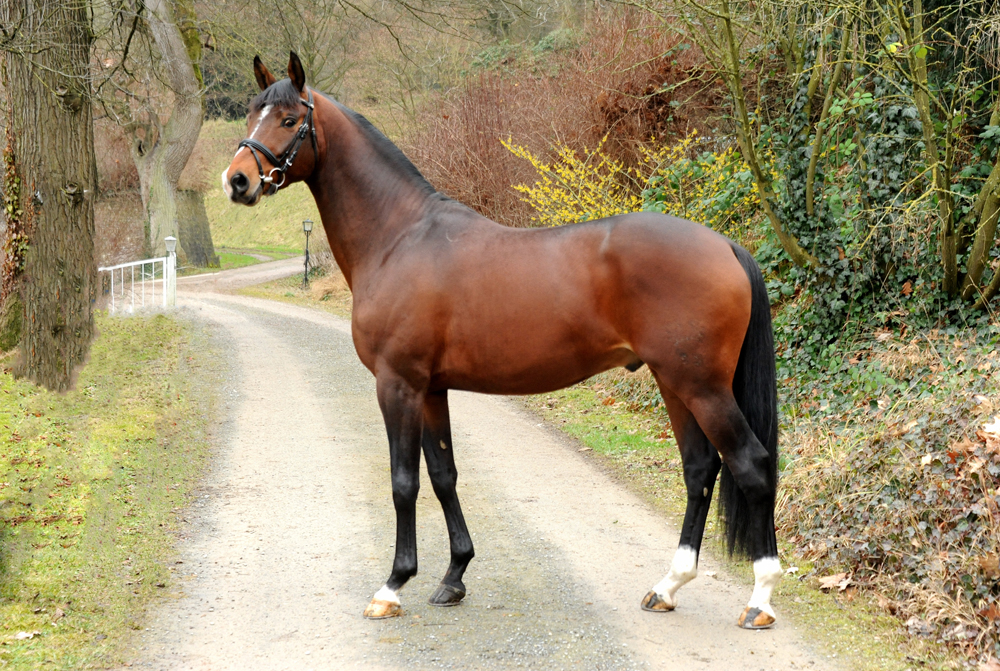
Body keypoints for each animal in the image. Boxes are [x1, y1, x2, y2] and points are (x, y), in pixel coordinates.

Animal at [223, 52, 784, 632]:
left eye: (290, 119)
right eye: (250, 113)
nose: (237, 180)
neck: (399, 237)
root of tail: (724, 244)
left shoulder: (398, 385)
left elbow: (404, 482)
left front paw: (393, 585)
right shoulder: (431, 389)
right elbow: (443, 474)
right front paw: (453, 576)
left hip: (701, 386)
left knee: (752, 465)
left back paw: (760, 601)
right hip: (675, 383)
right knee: (699, 469)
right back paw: (668, 586)